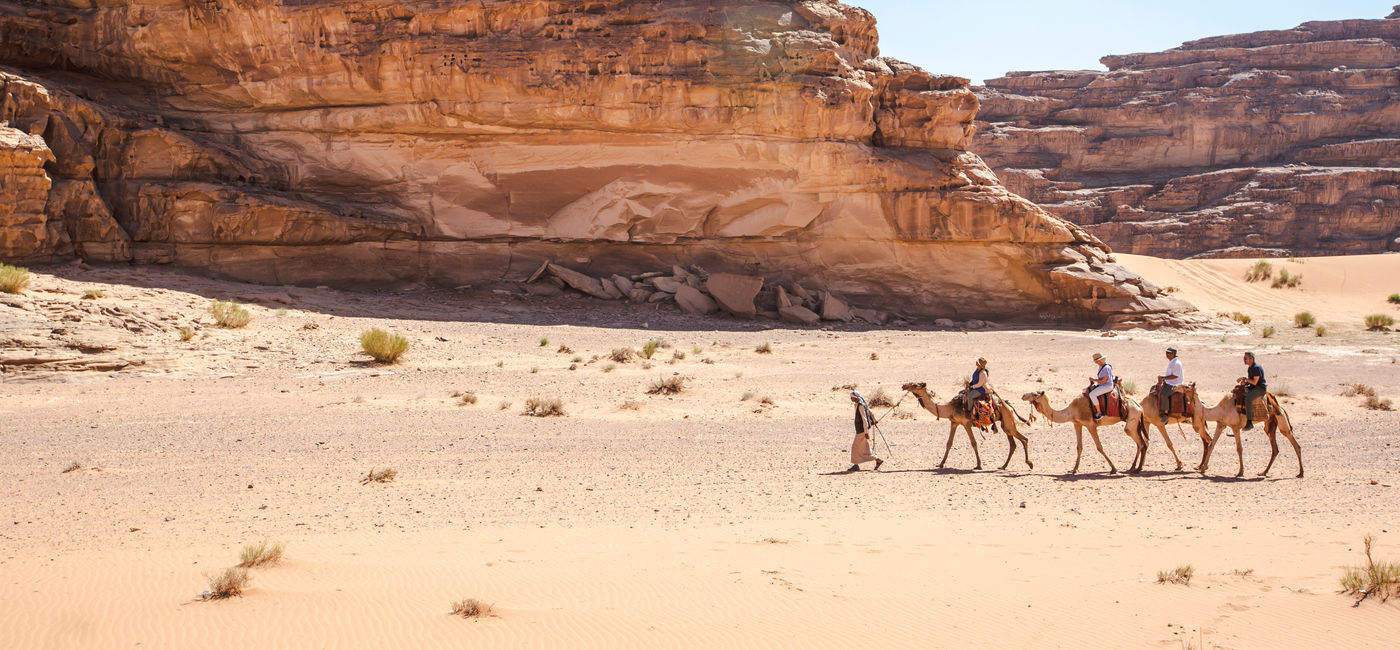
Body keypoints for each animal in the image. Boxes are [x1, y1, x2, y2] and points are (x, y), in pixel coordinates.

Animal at [902, 383, 1033, 471]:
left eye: (914, 384)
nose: (904, 385)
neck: (949, 408)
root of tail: (1009, 406)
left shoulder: (966, 424)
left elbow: (973, 443)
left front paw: (979, 465)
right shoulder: (954, 422)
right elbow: (949, 443)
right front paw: (941, 464)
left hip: (1008, 421)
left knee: (1024, 439)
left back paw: (1029, 463)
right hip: (1005, 424)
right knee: (1013, 444)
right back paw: (1003, 466)